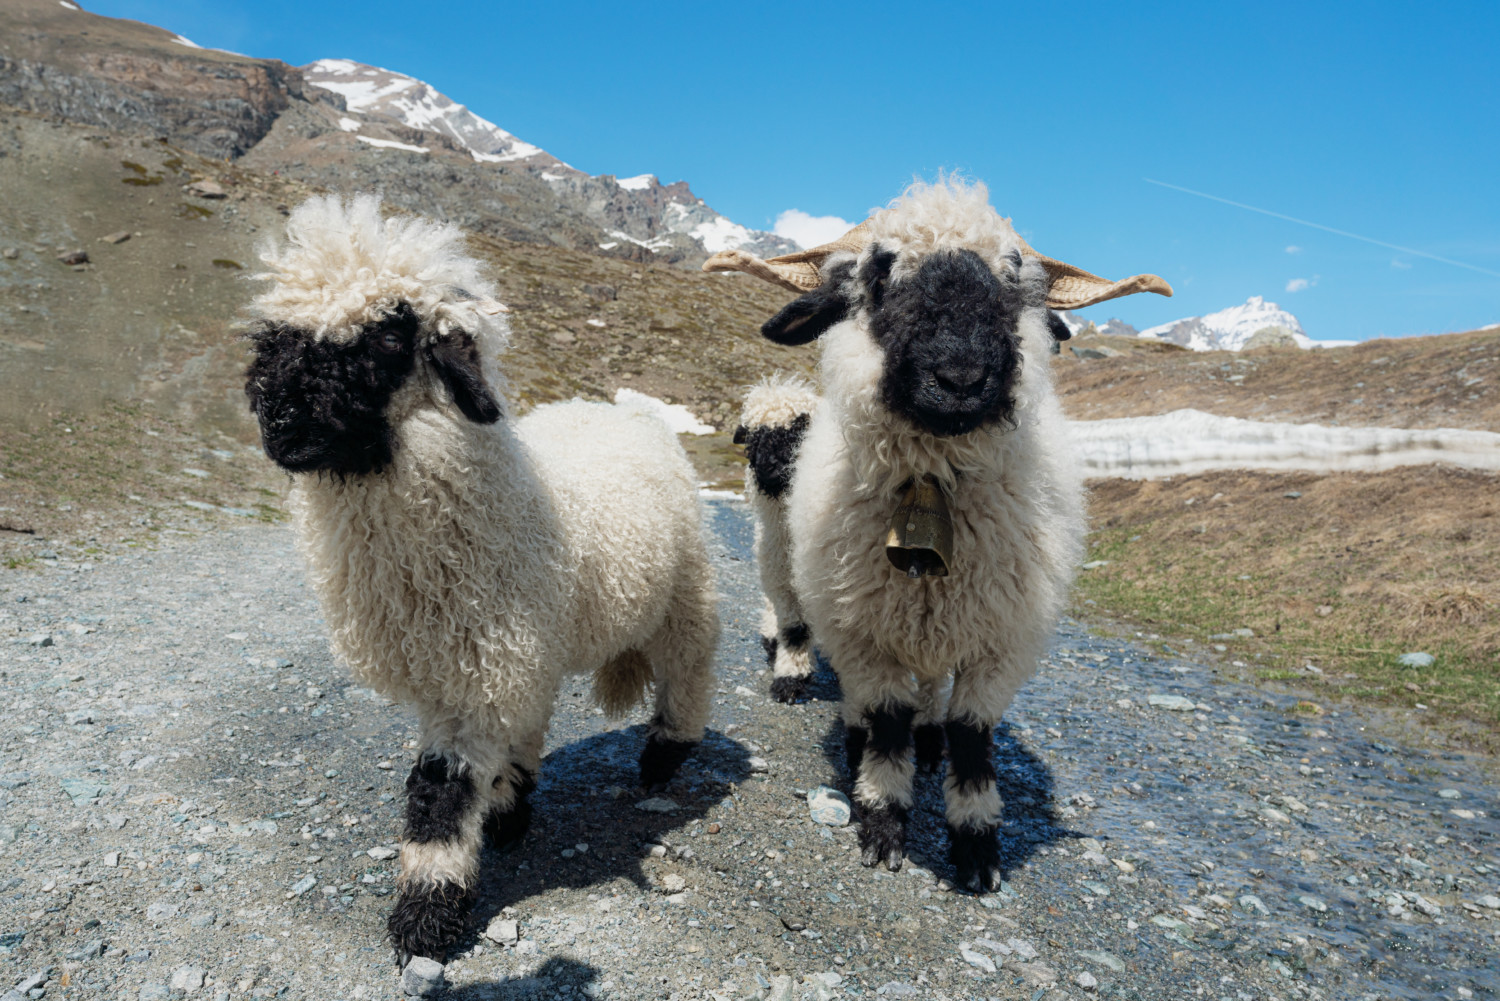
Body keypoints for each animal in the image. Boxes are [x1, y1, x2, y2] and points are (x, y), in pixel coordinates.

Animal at [241, 198, 720, 960]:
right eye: (277, 340)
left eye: (385, 339)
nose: (281, 420)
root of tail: (628, 409)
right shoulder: (484, 664)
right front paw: (499, 817)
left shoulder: (476, 673)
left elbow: (440, 791)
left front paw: (427, 913)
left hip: (685, 593)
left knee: (688, 670)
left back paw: (665, 753)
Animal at [702, 177, 1170, 894]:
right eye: (879, 272)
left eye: (1014, 277)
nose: (960, 378)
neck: (933, 484)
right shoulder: (865, 632)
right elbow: (886, 724)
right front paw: (883, 823)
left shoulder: (1000, 641)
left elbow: (973, 739)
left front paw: (976, 847)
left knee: (930, 700)